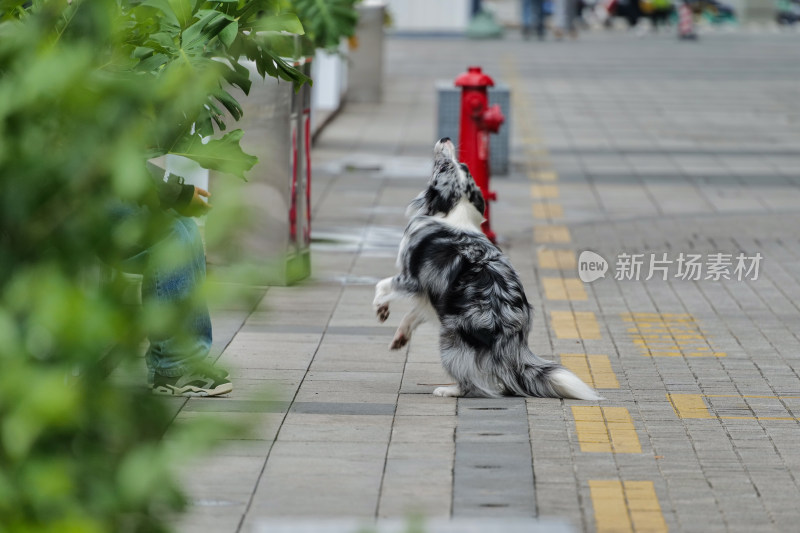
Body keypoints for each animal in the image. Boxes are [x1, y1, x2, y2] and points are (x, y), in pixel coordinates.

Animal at [374, 138, 600, 400]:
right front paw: (400, 336)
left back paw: (448, 390)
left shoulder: (412, 278)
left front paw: (380, 308)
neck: (455, 213)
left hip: (451, 338)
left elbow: (382, 285)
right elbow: (413, 313)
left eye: (443, 167)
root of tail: (511, 333)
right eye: (462, 167)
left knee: (469, 379)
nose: (445, 140)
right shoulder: (432, 296)